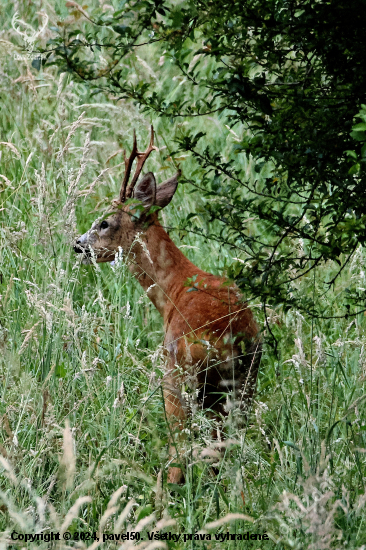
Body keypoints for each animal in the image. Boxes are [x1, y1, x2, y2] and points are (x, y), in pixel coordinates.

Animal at [74, 127, 262, 486]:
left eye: (104, 222)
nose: (77, 244)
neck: (173, 291)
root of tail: (227, 341)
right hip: (244, 384)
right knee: (227, 451)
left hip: (177, 378)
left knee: (181, 452)